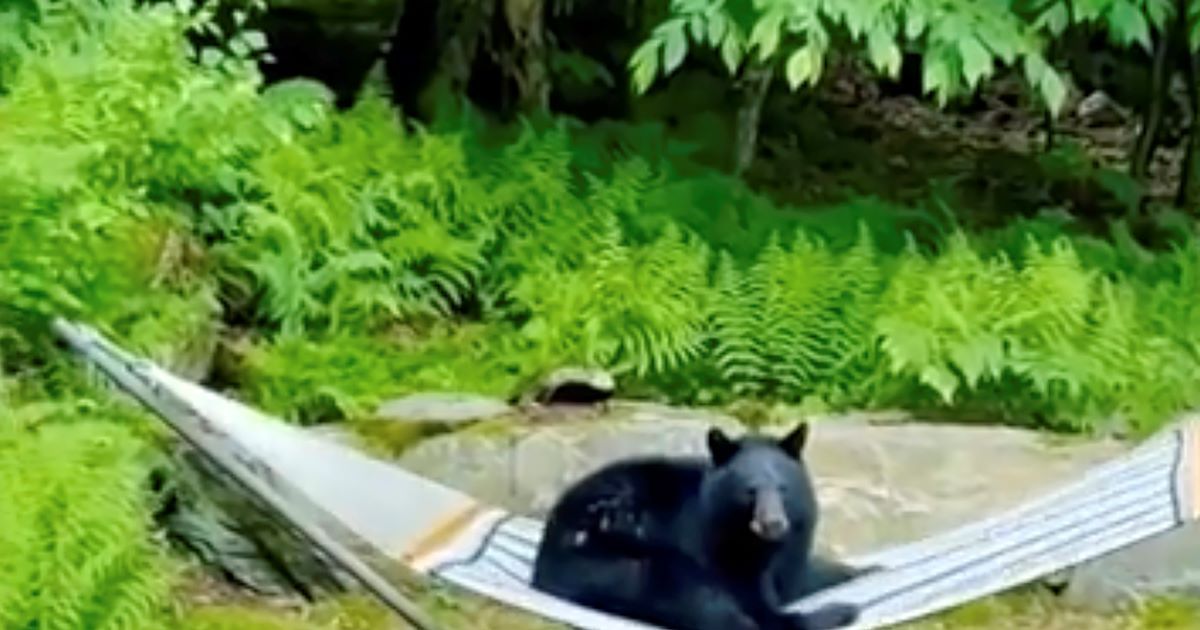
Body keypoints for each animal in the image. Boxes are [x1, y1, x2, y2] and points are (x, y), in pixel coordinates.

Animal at [530, 421, 866, 630]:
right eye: (750, 491)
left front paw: (860, 570)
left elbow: (806, 573)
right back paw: (841, 611)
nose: (773, 524)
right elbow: (753, 600)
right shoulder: (715, 545)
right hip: (619, 558)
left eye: (783, 488)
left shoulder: (793, 545)